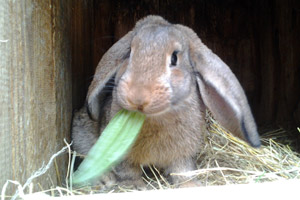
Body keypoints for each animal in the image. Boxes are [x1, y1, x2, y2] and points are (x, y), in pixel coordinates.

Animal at [72, 15, 260, 189]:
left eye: (174, 58)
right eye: (129, 53)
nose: (137, 97)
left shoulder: (183, 155)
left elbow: (181, 171)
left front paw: (190, 186)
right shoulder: (122, 156)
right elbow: (127, 171)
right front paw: (135, 186)